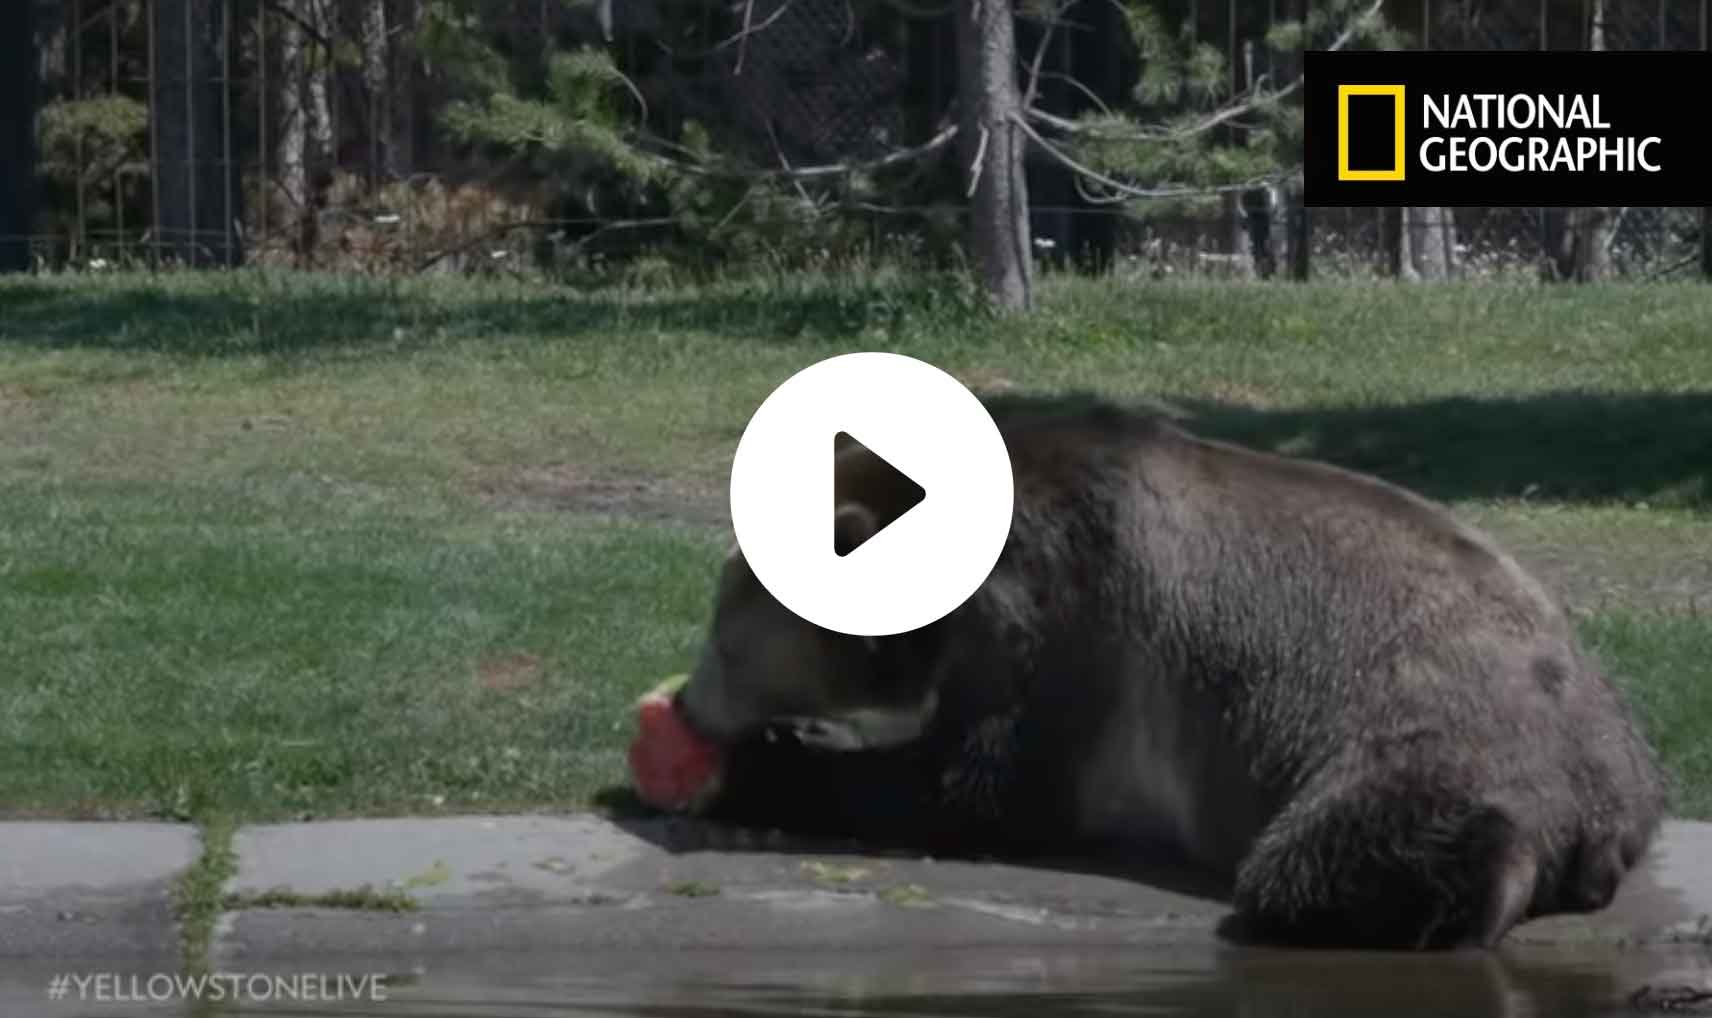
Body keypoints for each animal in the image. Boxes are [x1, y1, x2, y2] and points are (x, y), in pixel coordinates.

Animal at [671, 393, 1670, 951]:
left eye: (724, 641)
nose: (687, 702)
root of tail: (1608, 810)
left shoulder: (1066, 607)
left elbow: (980, 783)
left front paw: (756, 765)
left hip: (1439, 735)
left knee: (1340, 853)